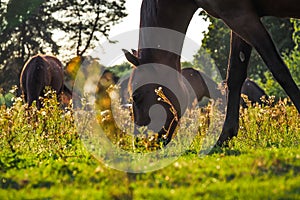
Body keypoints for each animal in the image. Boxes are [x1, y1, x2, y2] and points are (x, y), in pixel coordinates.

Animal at [124, 0, 300, 147]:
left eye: (136, 96)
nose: (138, 143)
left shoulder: (240, 16)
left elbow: (277, 67)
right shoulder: (239, 19)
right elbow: (235, 75)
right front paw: (225, 136)